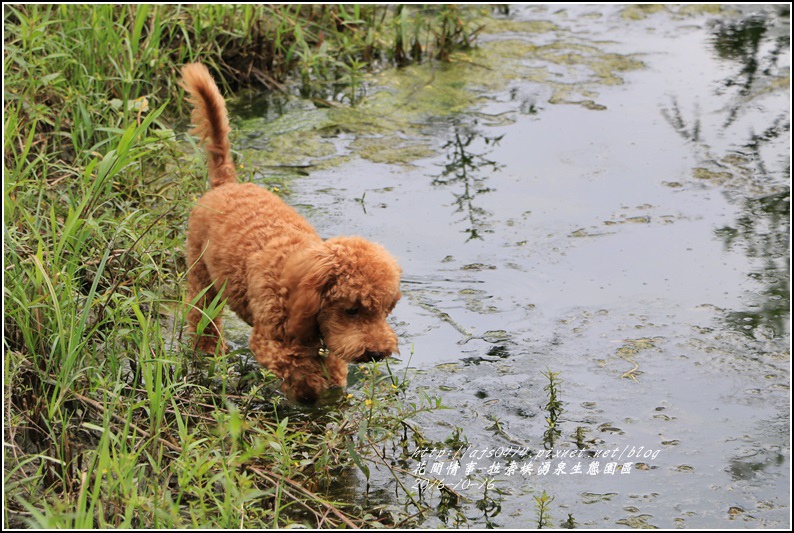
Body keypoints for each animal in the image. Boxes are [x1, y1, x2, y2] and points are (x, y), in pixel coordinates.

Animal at [181, 63, 402, 404]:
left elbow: (332, 371)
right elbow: (301, 373)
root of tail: (226, 183)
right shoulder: (269, 342)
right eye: (352, 310)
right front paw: (308, 392)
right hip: (201, 275)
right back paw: (208, 350)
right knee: (201, 315)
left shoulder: (330, 344)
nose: (377, 352)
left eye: (384, 310)